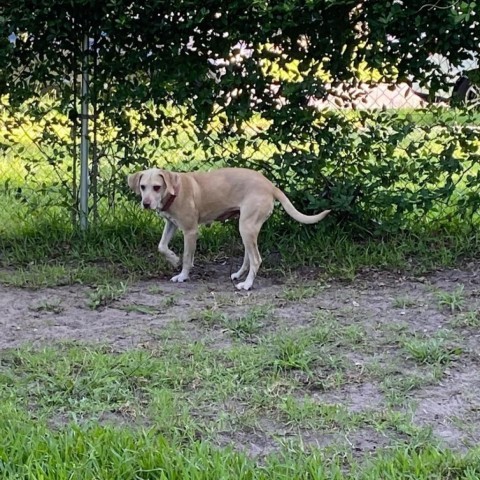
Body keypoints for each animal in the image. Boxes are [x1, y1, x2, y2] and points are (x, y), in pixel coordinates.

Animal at [127, 167, 330, 290]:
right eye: (143, 187)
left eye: (156, 187)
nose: (146, 204)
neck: (175, 190)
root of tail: (270, 185)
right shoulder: (171, 224)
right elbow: (161, 246)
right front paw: (173, 259)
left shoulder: (190, 231)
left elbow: (187, 258)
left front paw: (182, 275)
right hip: (247, 228)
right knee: (248, 257)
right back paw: (239, 275)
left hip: (246, 227)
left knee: (256, 259)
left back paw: (247, 285)